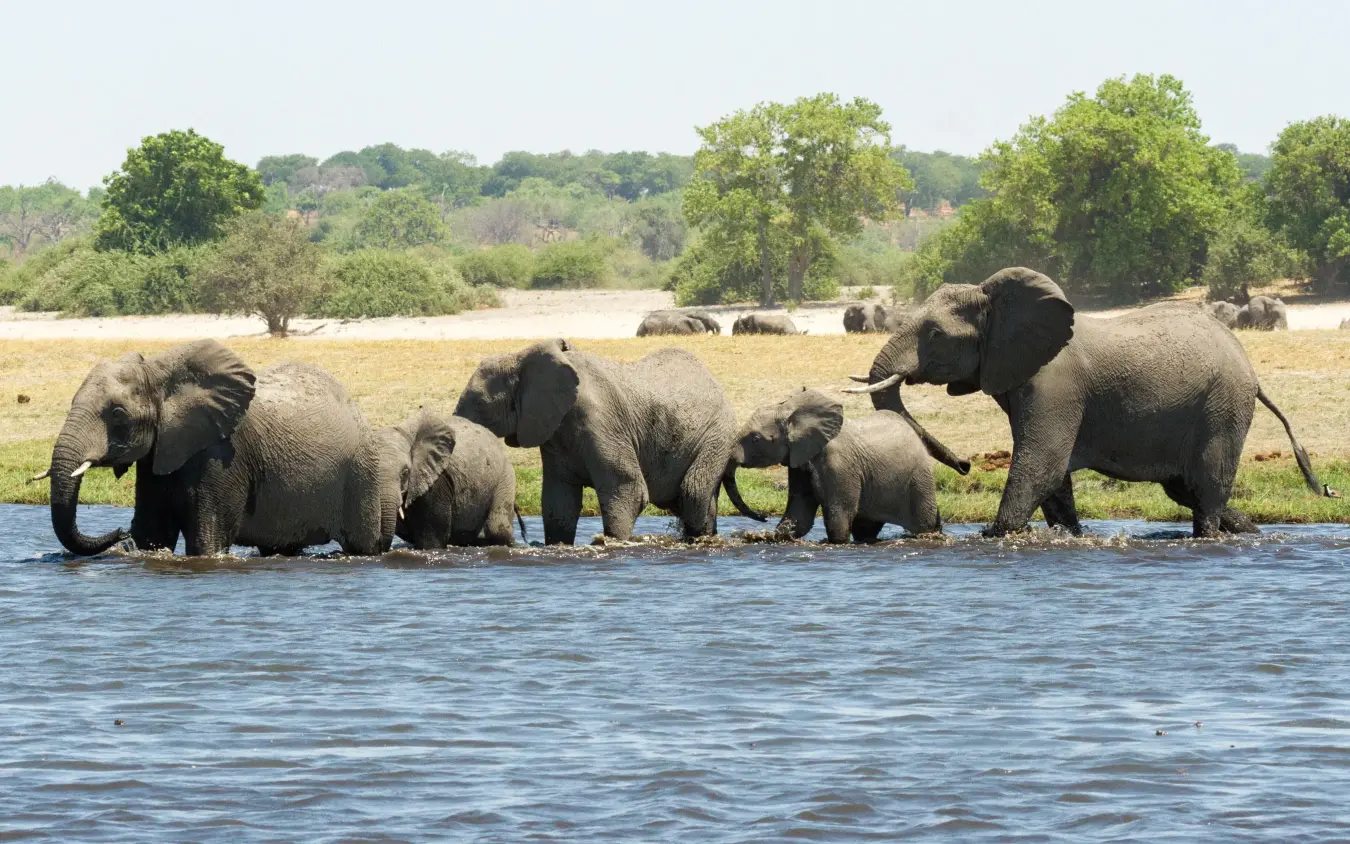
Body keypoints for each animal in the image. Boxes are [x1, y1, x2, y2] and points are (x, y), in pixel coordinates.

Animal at [39, 340, 396, 557]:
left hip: (361, 472)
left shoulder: (224, 455)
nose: (118, 532)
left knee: (361, 545)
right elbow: (154, 533)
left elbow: (205, 540)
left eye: (117, 413)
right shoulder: (160, 451)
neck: (161, 373)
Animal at [454, 339, 762, 544]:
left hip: (717, 435)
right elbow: (558, 501)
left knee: (693, 494)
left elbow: (627, 488)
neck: (522, 357)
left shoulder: (601, 422)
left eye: (480, 404)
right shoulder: (554, 432)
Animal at [726, 388, 942, 542]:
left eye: (755, 439)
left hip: (918, 478)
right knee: (864, 530)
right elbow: (800, 512)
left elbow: (839, 514)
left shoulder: (838, 464)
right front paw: (775, 537)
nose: (763, 518)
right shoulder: (800, 461)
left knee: (925, 523)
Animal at [846, 267, 1330, 538]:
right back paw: (1252, 531)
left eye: (936, 334)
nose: (965, 464)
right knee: (1186, 489)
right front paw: (1070, 536)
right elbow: (1054, 479)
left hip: (1222, 405)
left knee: (1206, 491)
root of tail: (1251, 370)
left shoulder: (1054, 385)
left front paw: (992, 536)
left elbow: (1039, 466)